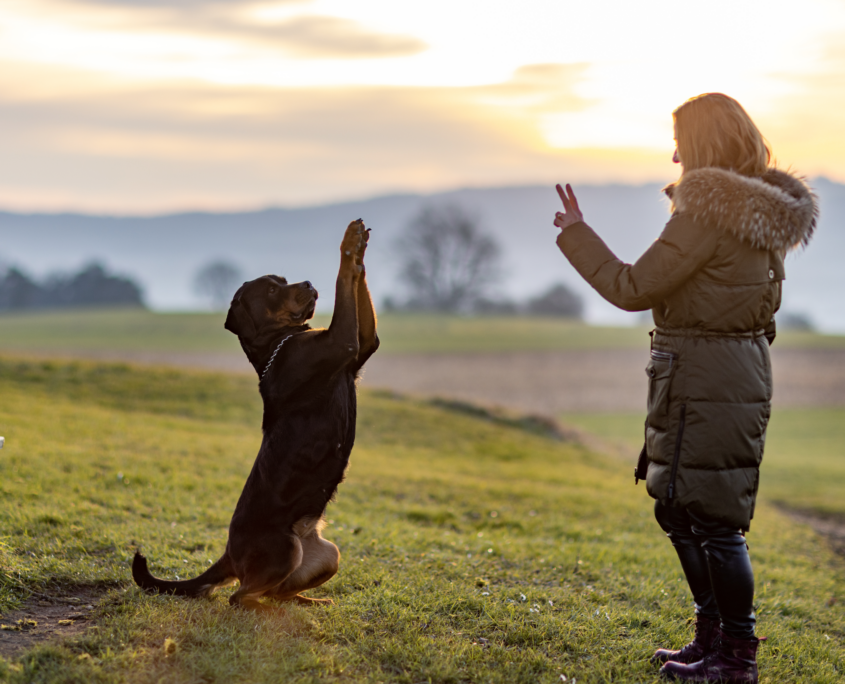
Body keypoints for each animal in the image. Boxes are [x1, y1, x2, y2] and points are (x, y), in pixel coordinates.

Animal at [130, 219, 378, 608]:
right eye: (273, 289)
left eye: (285, 280)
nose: (308, 283)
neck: (279, 342)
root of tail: (228, 554)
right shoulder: (343, 341)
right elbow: (343, 280)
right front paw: (348, 244)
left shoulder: (363, 343)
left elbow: (357, 289)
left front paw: (360, 245)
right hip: (284, 548)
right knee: (240, 595)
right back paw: (262, 607)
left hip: (328, 553)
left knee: (278, 592)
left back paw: (307, 602)